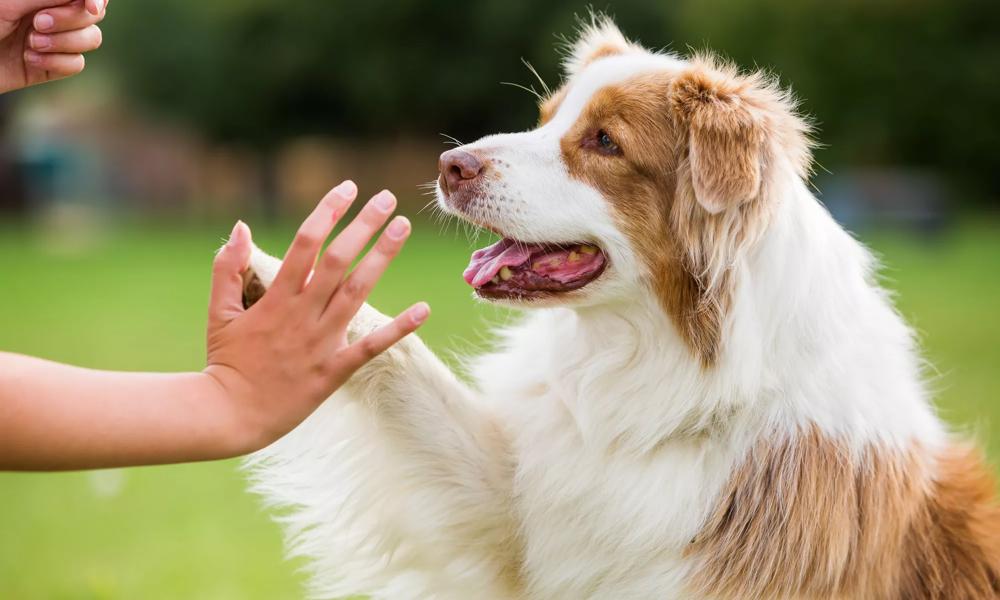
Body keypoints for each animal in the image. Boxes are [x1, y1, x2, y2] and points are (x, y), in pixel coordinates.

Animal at [242, 16, 1000, 596]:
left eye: (605, 142)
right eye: (544, 120)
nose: (450, 166)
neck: (663, 369)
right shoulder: (518, 510)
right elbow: (405, 360)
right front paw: (283, 286)